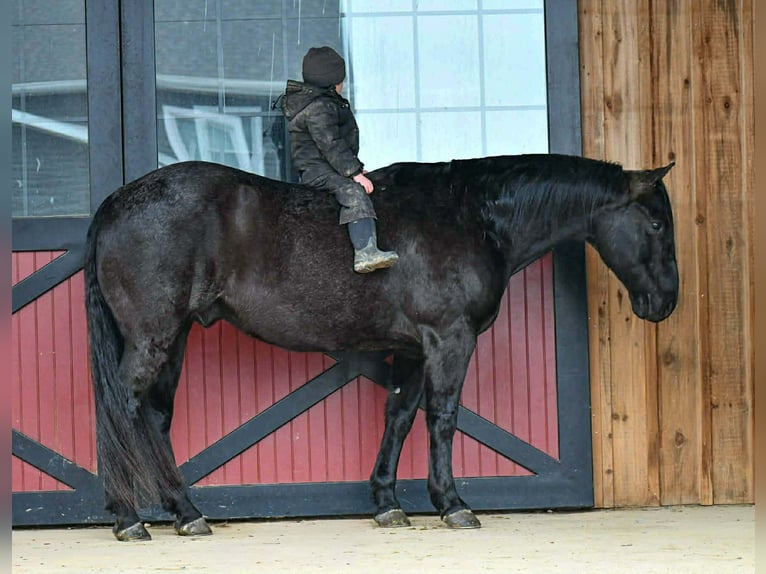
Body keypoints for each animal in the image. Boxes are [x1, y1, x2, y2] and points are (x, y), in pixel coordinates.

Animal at [84, 154, 678, 541]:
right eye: (655, 222)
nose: (666, 302)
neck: (469, 214)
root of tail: (115, 201)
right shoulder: (448, 338)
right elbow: (442, 418)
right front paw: (452, 504)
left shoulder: (414, 348)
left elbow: (400, 415)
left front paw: (388, 503)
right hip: (154, 336)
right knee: (123, 408)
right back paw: (129, 517)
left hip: (175, 336)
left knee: (154, 418)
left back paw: (185, 511)